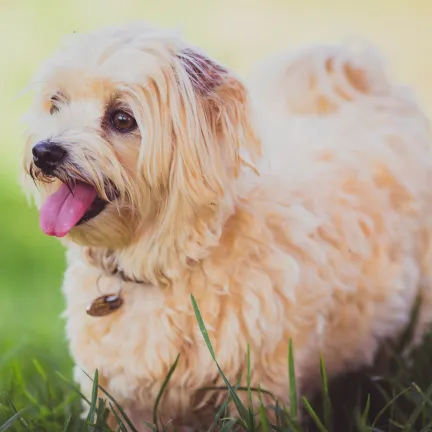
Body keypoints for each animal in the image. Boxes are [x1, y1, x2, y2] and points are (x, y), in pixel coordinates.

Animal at [21, 22, 432, 428]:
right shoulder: (118, 398)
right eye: (56, 103)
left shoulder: (256, 390)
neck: (166, 264)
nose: (44, 151)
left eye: (122, 118)